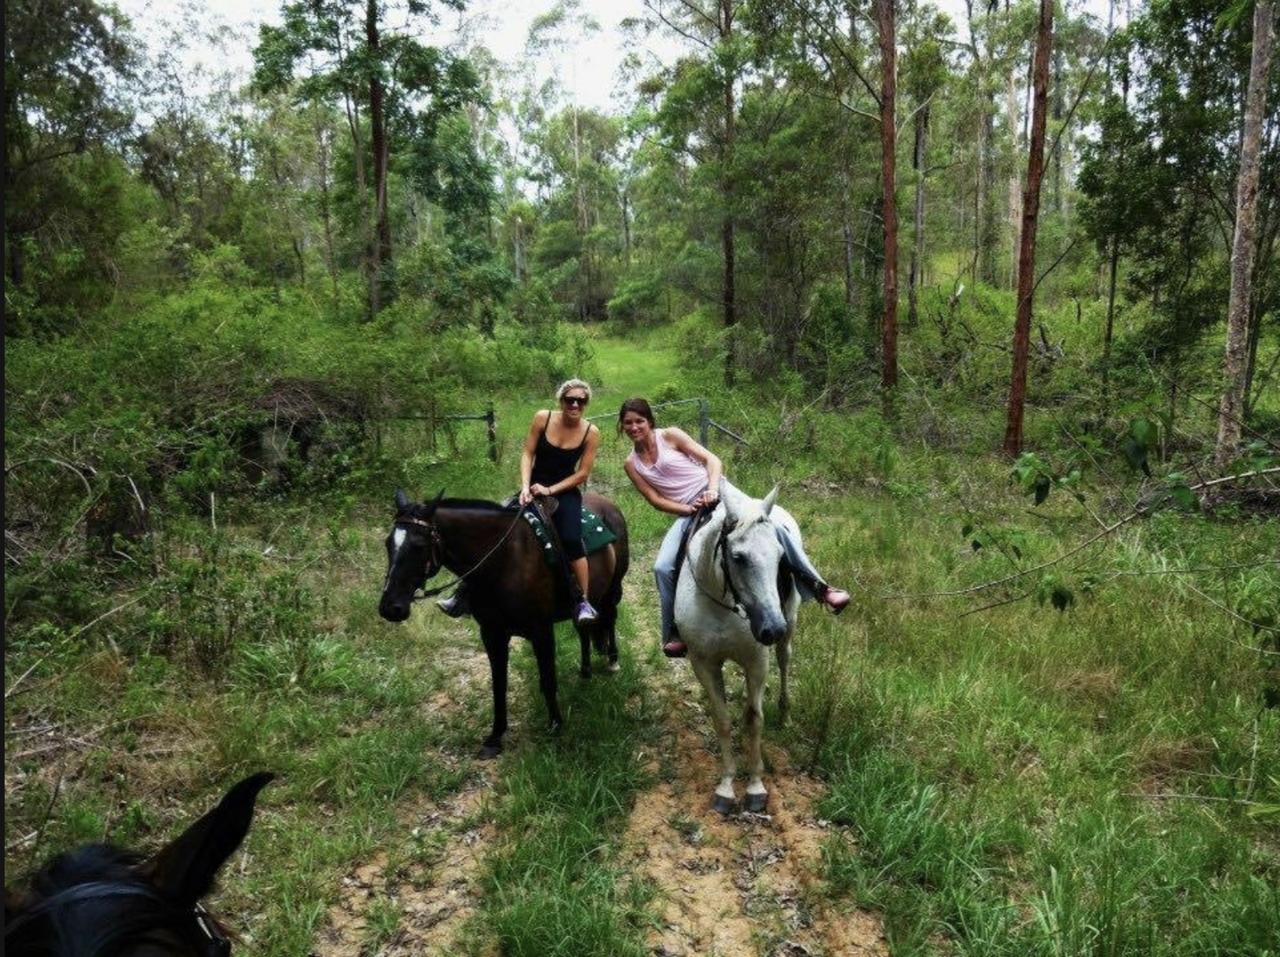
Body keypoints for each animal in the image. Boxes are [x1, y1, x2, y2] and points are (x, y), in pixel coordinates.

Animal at [376, 493, 627, 757]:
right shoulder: (491, 633)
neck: (503, 562)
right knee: (584, 629)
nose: (390, 607)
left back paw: (612, 662)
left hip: (611, 590)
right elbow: (499, 685)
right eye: (388, 544)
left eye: (419, 546)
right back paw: (585, 672)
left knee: (609, 619)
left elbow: (548, 680)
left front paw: (555, 725)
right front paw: (495, 737)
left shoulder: (541, 632)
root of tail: (607, 504)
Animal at [675, 481, 793, 813]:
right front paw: (727, 786)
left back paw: (786, 714)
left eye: (780, 555)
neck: (723, 604)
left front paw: (755, 786)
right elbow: (723, 720)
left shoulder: (757, 662)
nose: (772, 628)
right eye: (738, 557)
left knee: (785, 659)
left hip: (789, 623)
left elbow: (753, 720)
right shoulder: (704, 663)